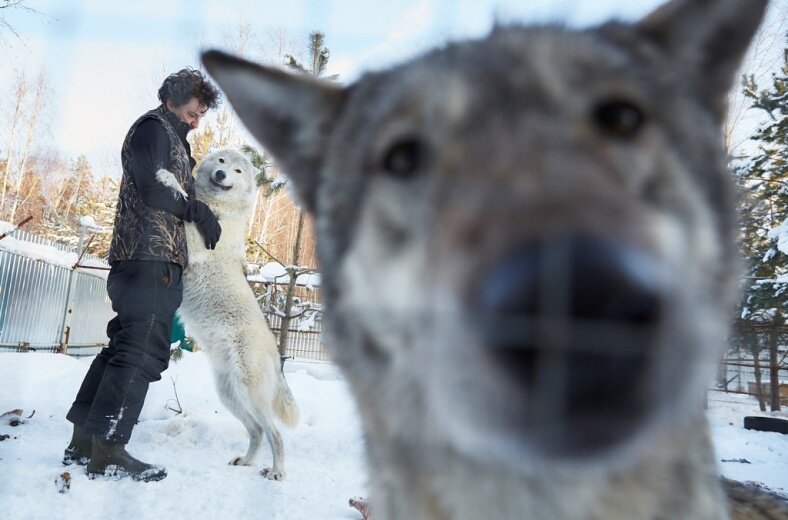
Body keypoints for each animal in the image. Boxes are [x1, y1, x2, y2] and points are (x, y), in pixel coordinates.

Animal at [162, 148, 298, 482]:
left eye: (237, 171)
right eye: (222, 163)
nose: (222, 175)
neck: (220, 209)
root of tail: (274, 352)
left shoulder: (197, 240)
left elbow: (186, 202)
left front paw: (167, 177)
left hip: (250, 396)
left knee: (275, 435)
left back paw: (277, 472)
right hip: (230, 395)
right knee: (257, 432)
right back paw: (246, 462)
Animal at [202, 1, 780, 516]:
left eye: (622, 118)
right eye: (404, 157)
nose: (581, 298)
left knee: (273, 434)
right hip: (230, 395)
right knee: (258, 431)